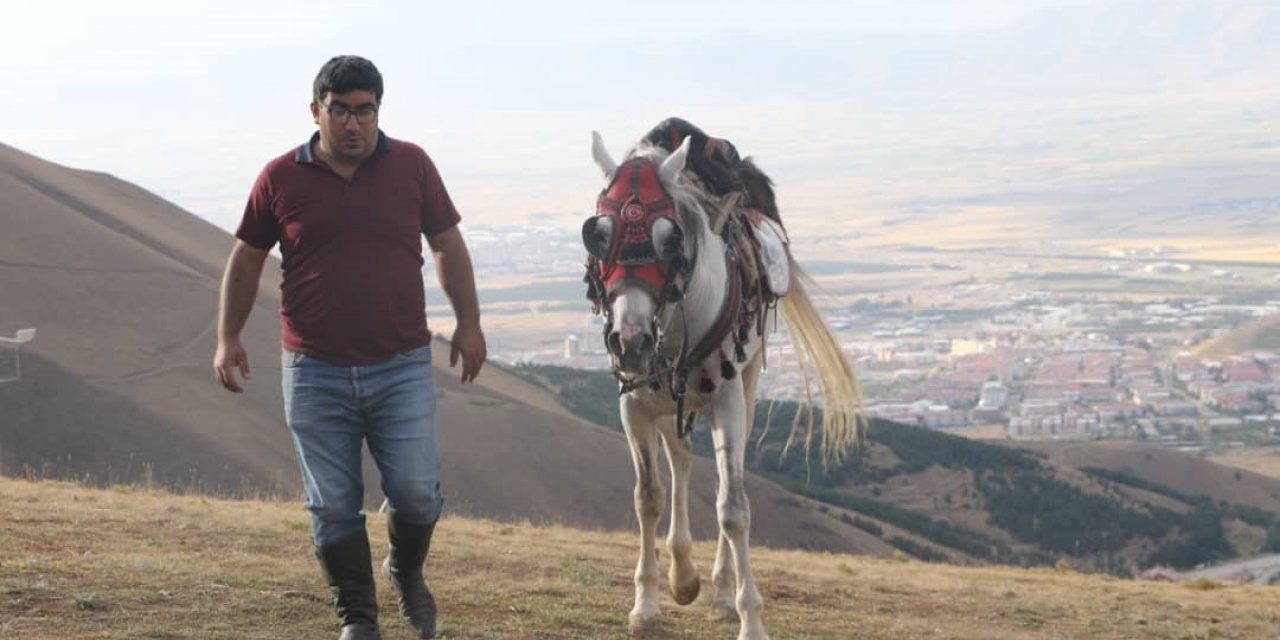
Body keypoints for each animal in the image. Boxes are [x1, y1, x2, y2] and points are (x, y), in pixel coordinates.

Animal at [583, 131, 865, 640]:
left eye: (670, 237)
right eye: (598, 234)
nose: (629, 340)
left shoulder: (727, 404)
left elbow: (733, 508)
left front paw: (749, 617)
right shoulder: (634, 406)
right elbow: (648, 497)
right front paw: (647, 604)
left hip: (743, 385)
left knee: (718, 477)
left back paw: (718, 588)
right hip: (669, 400)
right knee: (680, 461)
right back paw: (682, 574)